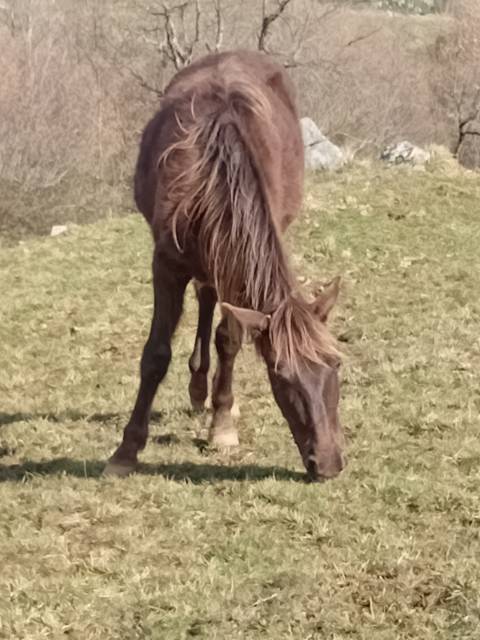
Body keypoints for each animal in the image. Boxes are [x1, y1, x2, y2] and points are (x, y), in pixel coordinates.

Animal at [104, 50, 346, 482]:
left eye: (335, 364)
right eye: (281, 377)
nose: (329, 463)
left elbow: (230, 338)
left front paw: (222, 424)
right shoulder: (166, 264)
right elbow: (156, 355)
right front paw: (126, 451)